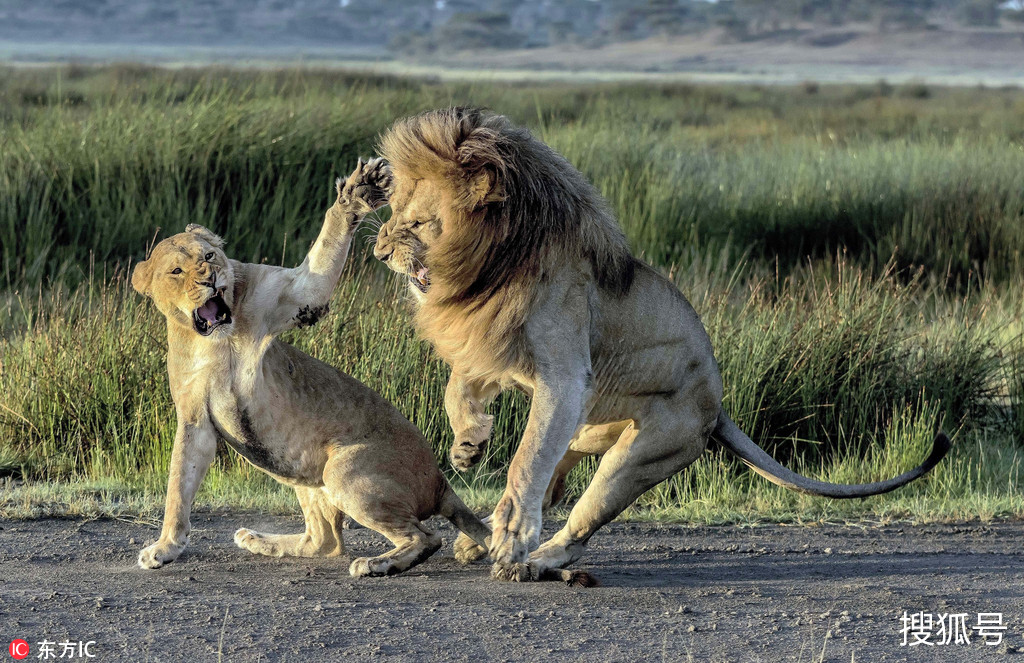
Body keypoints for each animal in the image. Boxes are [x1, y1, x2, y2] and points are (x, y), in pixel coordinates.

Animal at [132, 157, 491, 577]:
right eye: (177, 271)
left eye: (208, 257)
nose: (211, 279)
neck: (214, 341)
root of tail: (440, 480)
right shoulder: (194, 417)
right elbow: (178, 486)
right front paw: (165, 548)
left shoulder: (297, 292)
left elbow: (323, 253)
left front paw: (359, 190)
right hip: (305, 471)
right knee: (325, 542)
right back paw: (257, 540)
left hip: (342, 470)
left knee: (425, 537)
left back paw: (376, 564)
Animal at [370, 107, 950, 582]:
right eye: (393, 212)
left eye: (415, 221)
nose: (377, 252)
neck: (493, 262)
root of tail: (718, 406)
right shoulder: (497, 348)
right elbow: (456, 387)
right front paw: (468, 445)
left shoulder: (561, 374)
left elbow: (527, 459)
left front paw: (512, 536)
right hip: (589, 424)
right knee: (558, 475)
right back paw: (483, 535)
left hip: (639, 454)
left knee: (578, 517)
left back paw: (531, 557)